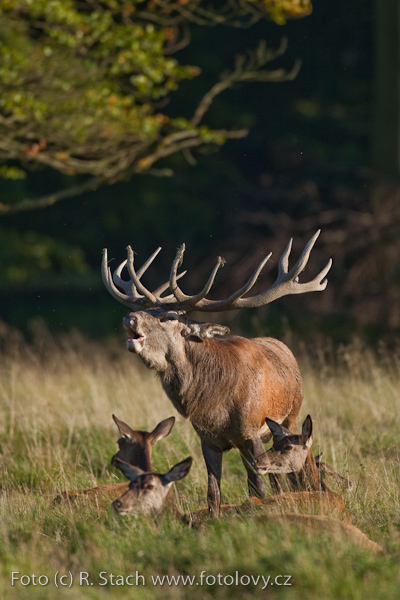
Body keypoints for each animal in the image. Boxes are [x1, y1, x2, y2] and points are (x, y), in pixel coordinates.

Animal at [103, 232, 332, 512]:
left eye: (169, 317)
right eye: (146, 310)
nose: (130, 318)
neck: (215, 406)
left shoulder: (251, 432)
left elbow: (258, 488)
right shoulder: (207, 439)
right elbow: (213, 493)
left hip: (292, 415)